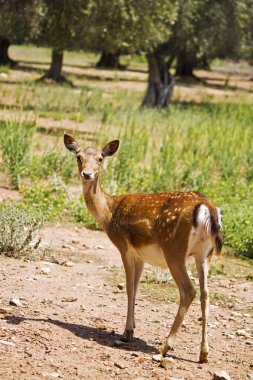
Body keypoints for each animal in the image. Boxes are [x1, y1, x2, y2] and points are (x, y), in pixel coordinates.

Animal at [64, 134, 222, 362]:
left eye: (100, 159)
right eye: (79, 156)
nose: (87, 174)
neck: (109, 214)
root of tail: (206, 208)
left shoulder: (124, 247)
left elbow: (129, 288)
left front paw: (126, 332)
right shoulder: (141, 256)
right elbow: (136, 287)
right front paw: (131, 329)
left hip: (174, 249)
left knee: (188, 290)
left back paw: (166, 346)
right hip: (204, 255)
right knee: (206, 294)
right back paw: (203, 353)